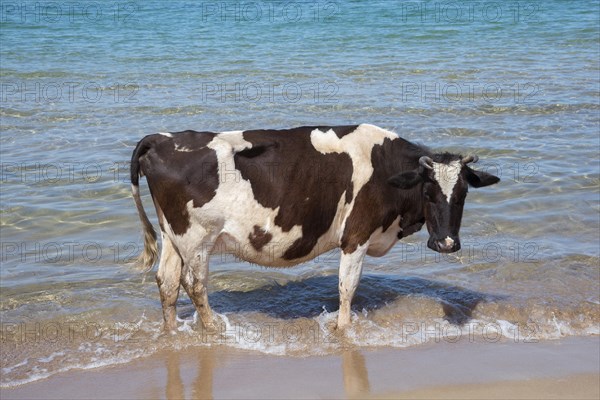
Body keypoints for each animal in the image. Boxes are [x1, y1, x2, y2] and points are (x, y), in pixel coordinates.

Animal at [131, 124, 502, 332]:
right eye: (428, 192)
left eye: (463, 194)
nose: (446, 244)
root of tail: (162, 139)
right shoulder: (356, 236)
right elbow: (347, 287)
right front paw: (343, 330)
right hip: (197, 238)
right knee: (194, 285)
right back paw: (213, 330)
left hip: (172, 236)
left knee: (167, 282)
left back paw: (171, 333)